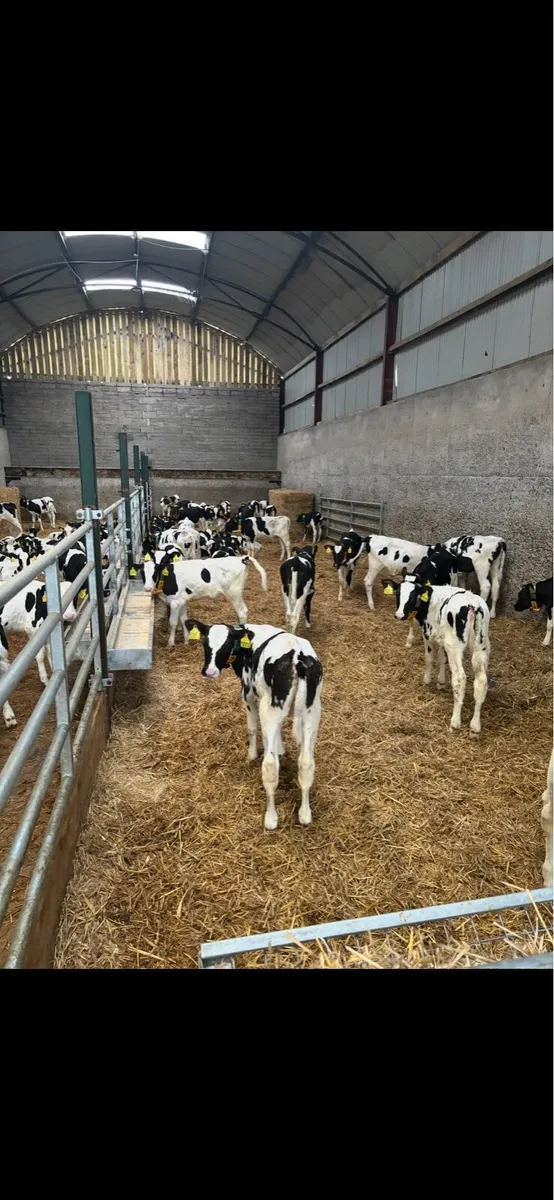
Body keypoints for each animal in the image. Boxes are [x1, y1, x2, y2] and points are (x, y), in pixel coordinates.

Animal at [185, 619, 323, 830]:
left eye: (226, 645)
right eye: (204, 643)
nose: (210, 671)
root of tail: (298, 656)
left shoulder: (248, 693)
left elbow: (252, 728)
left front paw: (251, 755)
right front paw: (280, 749)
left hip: (270, 708)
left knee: (270, 766)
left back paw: (271, 818)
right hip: (312, 712)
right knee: (306, 763)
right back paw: (305, 814)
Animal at [390, 574, 491, 735]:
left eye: (413, 596)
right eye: (398, 593)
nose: (399, 615)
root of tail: (473, 605)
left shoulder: (429, 634)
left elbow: (430, 658)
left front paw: (427, 680)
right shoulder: (443, 639)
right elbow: (442, 659)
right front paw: (441, 681)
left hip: (455, 646)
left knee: (459, 678)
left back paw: (455, 721)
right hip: (481, 647)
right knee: (481, 680)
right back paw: (475, 724)